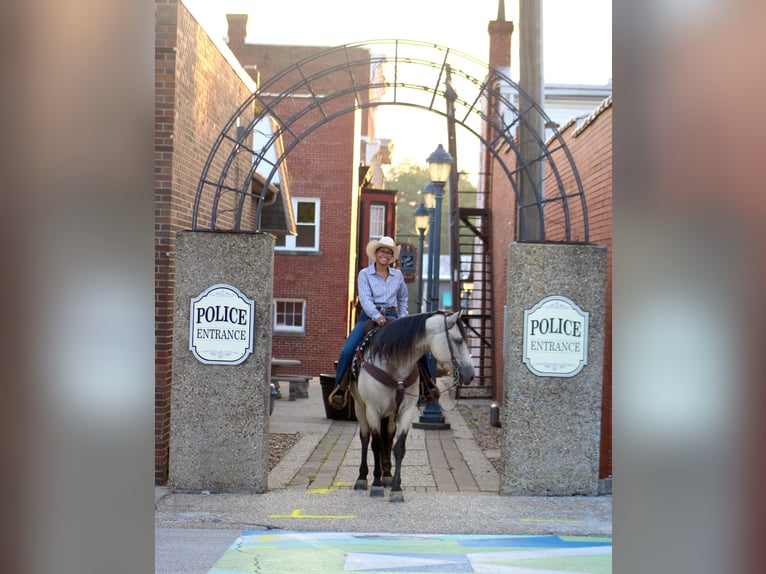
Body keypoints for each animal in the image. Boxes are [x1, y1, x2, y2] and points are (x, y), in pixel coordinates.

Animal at [352, 310, 474, 504]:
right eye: (458, 340)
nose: (470, 374)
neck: (395, 365)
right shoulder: (372, 411)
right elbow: (375, 445)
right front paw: (376, 484)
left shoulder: (406, 412)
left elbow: (398, 448)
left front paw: (396, 488)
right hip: (360, 408)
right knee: (365, 438)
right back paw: (363, 478)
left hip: (390, 415)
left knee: (388, 437)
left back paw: (387, 476)